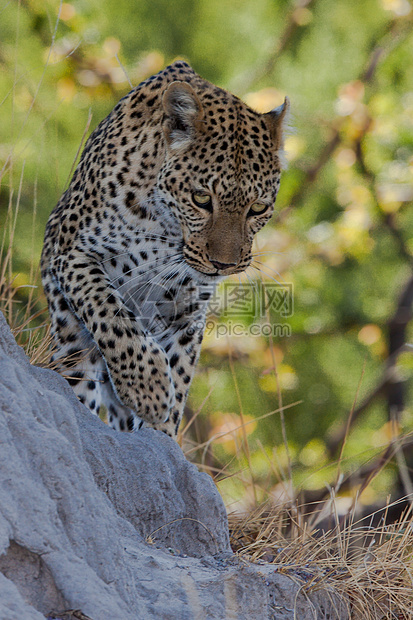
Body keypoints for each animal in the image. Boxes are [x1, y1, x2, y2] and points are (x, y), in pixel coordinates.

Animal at [40, 58, 288, 436]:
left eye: (257, 208)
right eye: (201, 199)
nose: (224, 265)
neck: (165, 226)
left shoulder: (186, 307)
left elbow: (180, 370)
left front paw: (162, 426)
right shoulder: (68, 249)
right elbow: (108, 310)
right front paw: (149, 388)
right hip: (71, 346)